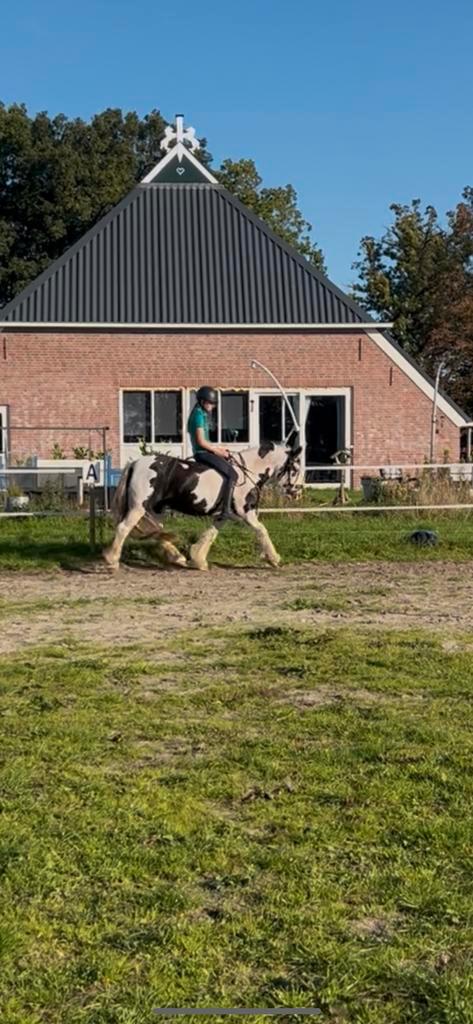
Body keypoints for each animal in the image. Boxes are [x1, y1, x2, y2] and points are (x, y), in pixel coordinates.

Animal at [103, 440, 303, 572]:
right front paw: (274, 559)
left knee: (156, 531)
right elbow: (261, 530)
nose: (298, 492)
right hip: (139, 507)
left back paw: (178, 557)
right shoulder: (246, 512)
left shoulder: (223, 516)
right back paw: (112, 560)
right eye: (294, 469)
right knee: (124, 528)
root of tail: (136, 463)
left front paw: (198, 559)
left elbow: (211, 534)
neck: (248, 471)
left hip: (155, 510)